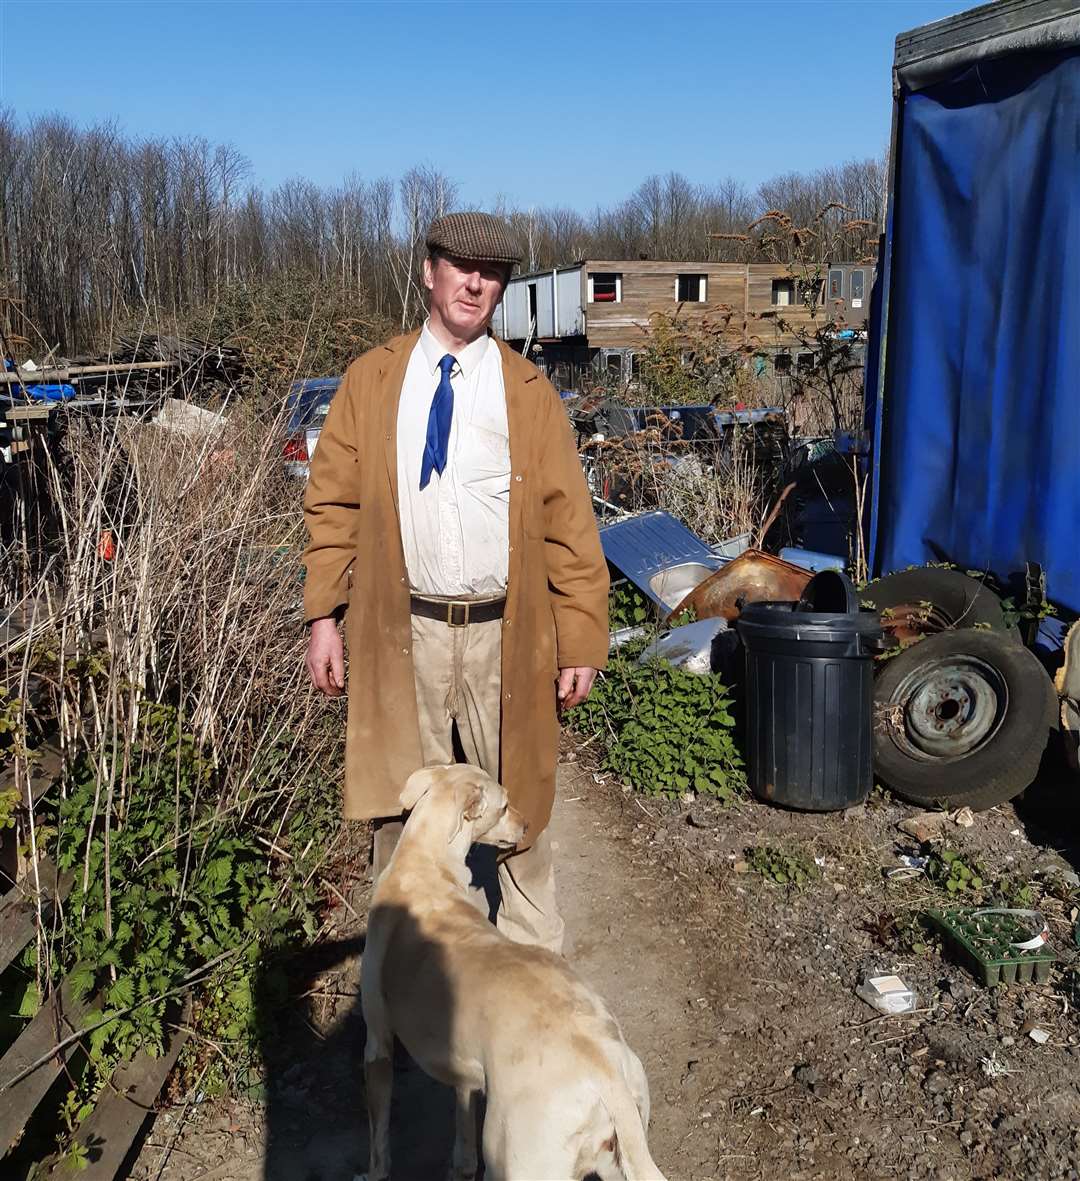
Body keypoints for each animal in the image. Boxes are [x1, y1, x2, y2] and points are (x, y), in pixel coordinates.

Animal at [361, 765, 666, 1181]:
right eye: (505, 805)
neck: (424, 863)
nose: (527, 825)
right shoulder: (465, 1071)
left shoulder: (377, 1044)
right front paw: (459, 1165)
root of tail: (607, 1076)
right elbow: (462, 1130)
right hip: (612, 1158)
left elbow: (379, 1138)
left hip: (515, 1158)